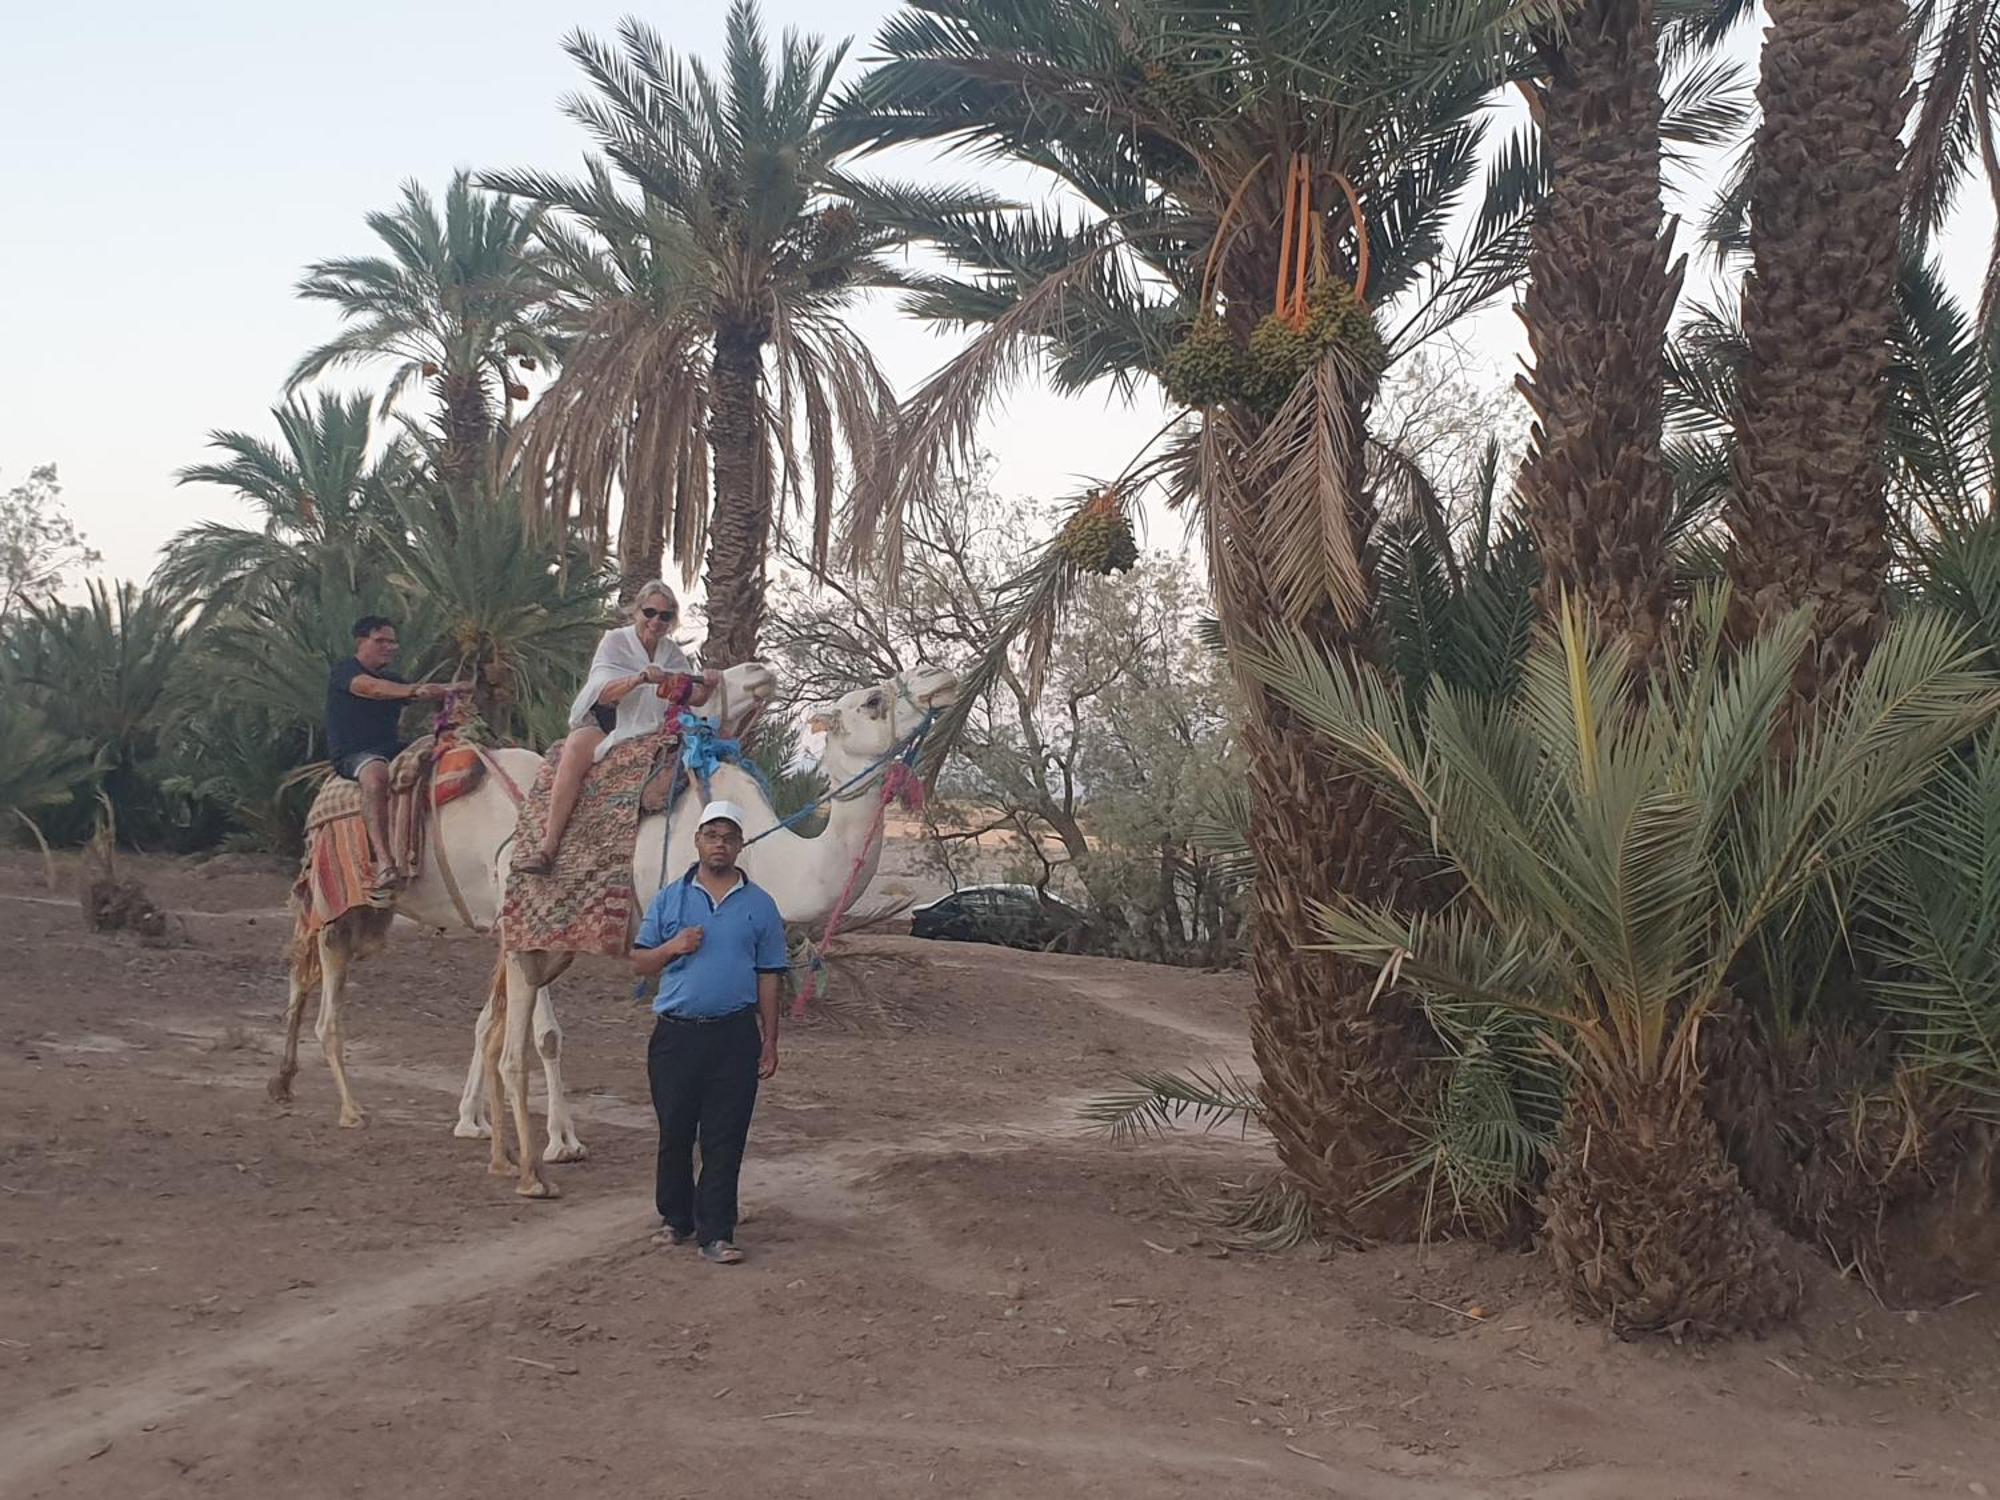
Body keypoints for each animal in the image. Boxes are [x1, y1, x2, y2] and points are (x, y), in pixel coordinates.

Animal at [272, 664, 780, 1144]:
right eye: (697, 686)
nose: (760, 672)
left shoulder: (509, 926)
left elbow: (488, 1022)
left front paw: (474, 1121)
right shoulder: (522, 920)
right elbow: (544, 1033)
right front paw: (562, 1140)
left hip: (361, 922)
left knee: (304, 976)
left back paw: (284, 1083)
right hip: (332, 906)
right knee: (320, 999)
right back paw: (348, 1108)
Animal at [476, 664, 960, 1208]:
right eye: (873, 701)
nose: (939, 675)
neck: (767, 854)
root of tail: (508, 846)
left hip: (545, 946)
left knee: (494, 1030)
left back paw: (502, 1158)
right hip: (525, 937)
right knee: (514, 1050)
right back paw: (532, 1175)